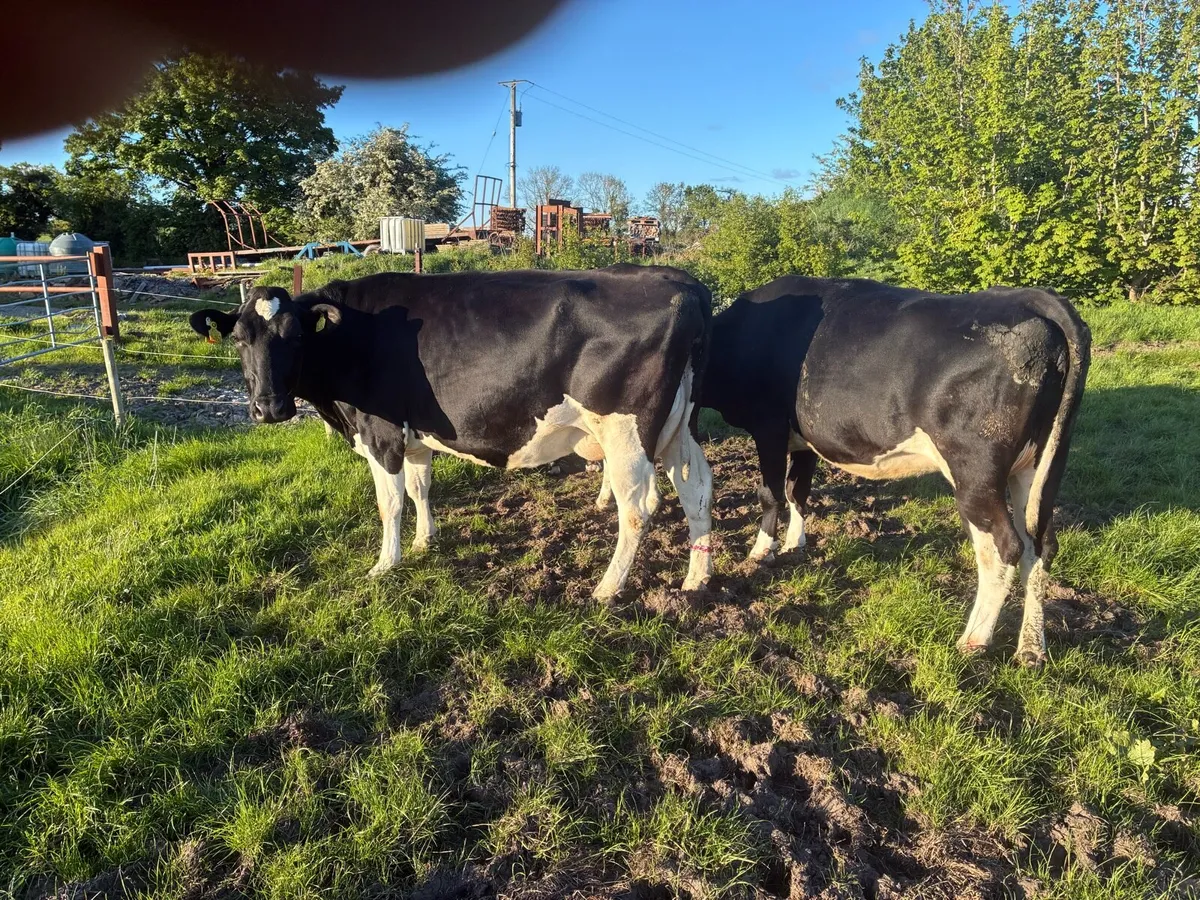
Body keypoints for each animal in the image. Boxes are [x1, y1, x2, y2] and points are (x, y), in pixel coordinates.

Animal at [189, 267, 714, 599]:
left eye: (295, 336)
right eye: (240, 340)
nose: (269, 408)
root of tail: (682, 283)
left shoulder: (381, 433)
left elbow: (390, 502)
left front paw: (386, 564)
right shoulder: (415, 433)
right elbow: (420, 488)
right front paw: (425, 542)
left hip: (626, 430)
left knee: (638, 507)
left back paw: (607, 587)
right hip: (677, 426)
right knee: (697, 488)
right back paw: (697, 578)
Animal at [700, 276, 1090, 666]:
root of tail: (1030, 298)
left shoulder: (768, 426)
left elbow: (771, 493)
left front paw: (760, 551)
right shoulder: (805, 438)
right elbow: (798, 490)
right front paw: (795, 544)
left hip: (975, 470)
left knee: (1004, 547)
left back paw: (973, 639)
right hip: (1041, 465)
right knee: (1039, 545)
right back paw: (1031, 648)